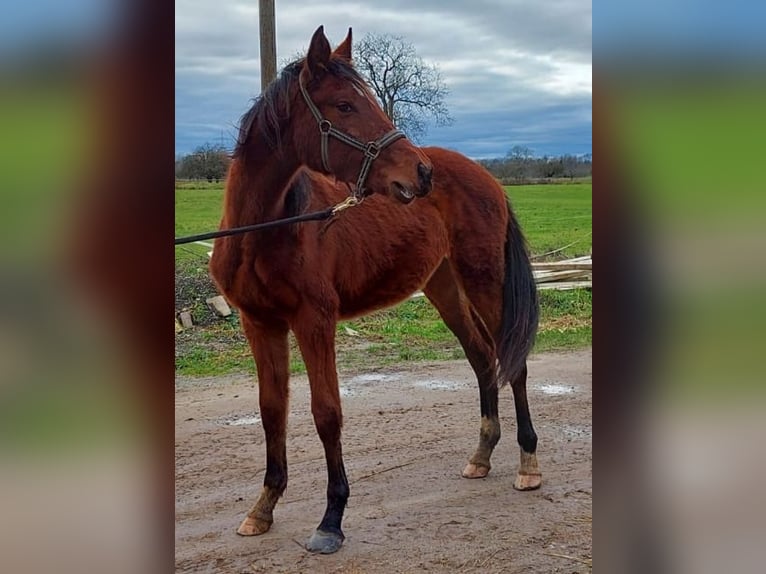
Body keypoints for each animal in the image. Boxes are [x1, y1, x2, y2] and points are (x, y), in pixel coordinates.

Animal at [208, 28, 540, 560]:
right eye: (344, 105)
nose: (420, 173)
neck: (265, 231)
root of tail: (486, 176)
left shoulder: (314, 322)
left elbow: (327, 413)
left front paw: (331, 519)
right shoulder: (259, 324)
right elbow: (271, 411)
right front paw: (263, 508)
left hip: (484, 282)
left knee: (514, 362)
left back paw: (529, 462)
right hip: (445, 289)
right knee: (482, 358)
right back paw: (482, 455)